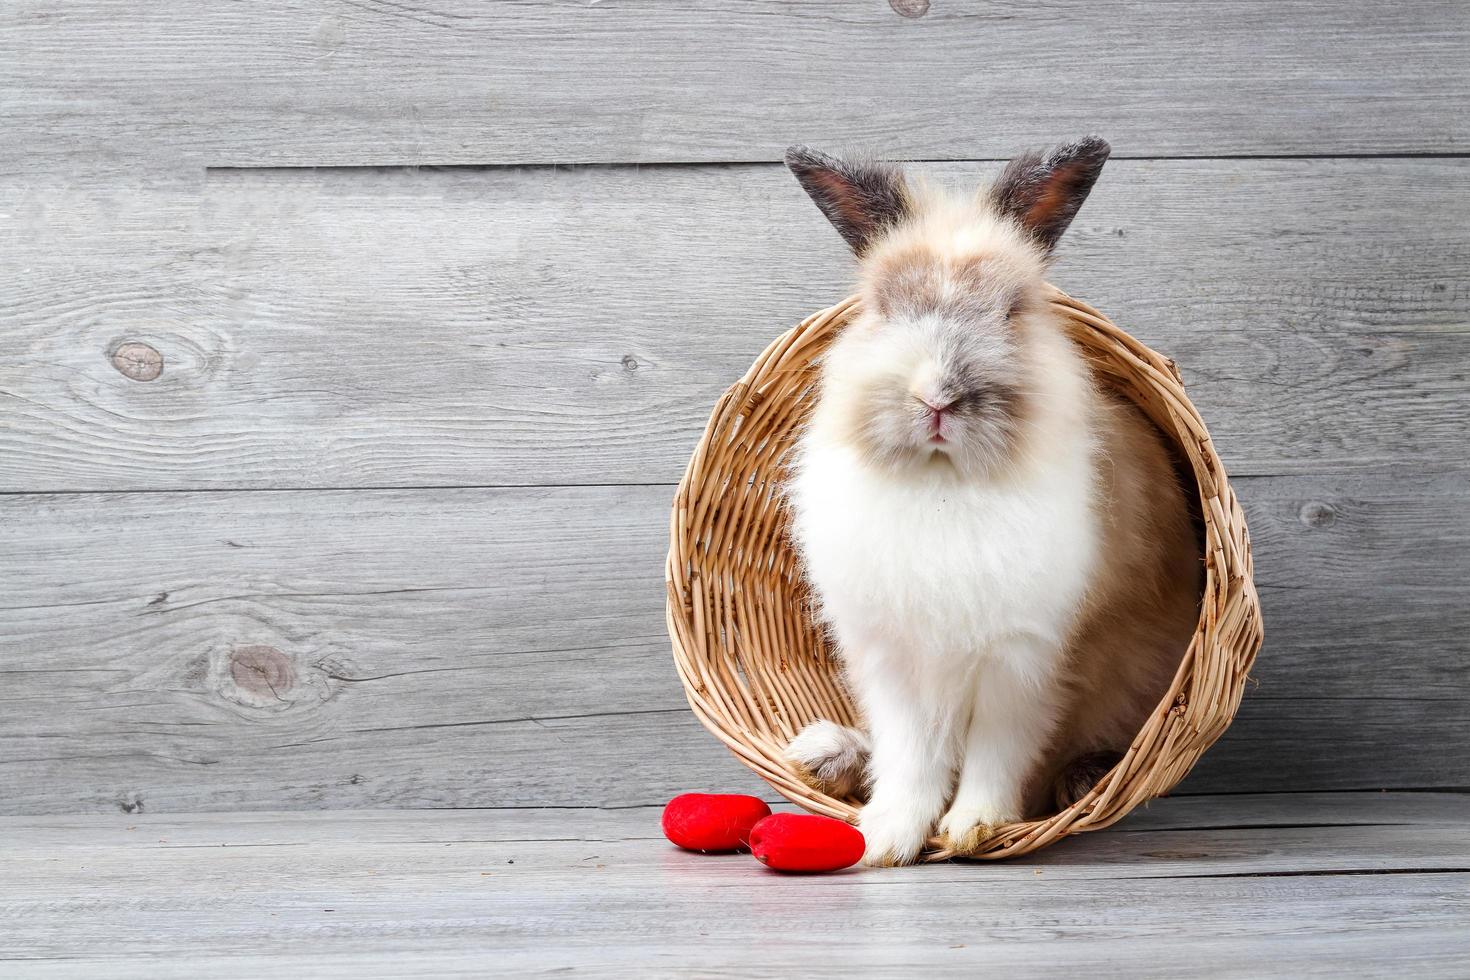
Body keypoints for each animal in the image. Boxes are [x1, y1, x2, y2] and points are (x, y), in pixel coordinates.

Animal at [782, 138, 1205, 863]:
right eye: (883, 307)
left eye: (1012, 310)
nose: (936, 396)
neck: (945, 486)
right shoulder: (895, 660)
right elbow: (910, 755)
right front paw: (886, 838)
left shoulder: (1027, 660)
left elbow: (998, 751)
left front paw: (973, 827)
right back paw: (824, 755)